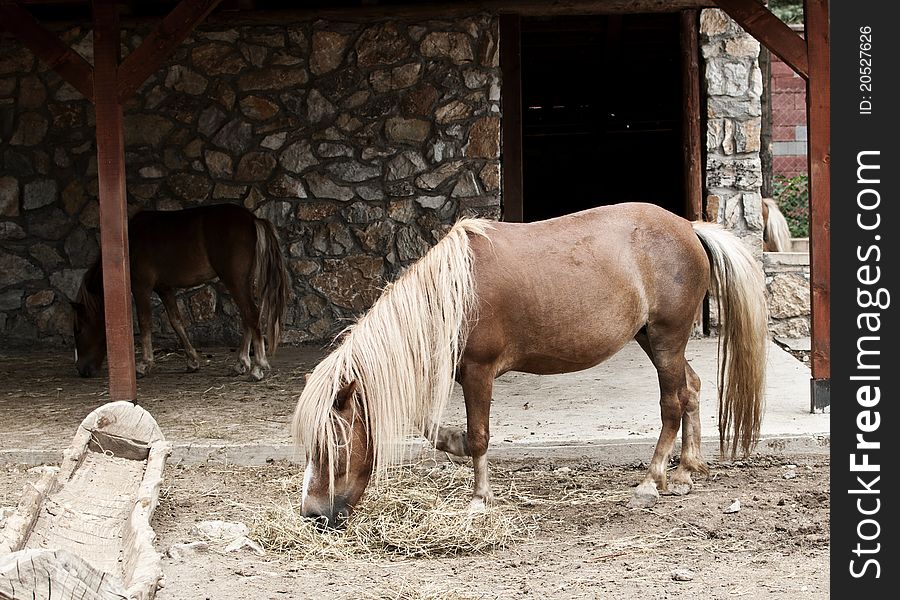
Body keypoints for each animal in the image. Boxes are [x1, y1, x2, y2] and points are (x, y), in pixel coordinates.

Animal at [75, 202, 292, 380]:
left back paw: (258, 366)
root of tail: (252, 219)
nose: (81, 369)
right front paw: (192, 361)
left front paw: (144, 365)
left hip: (235, 281)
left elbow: (145, 323)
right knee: (249, 316)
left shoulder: (140, 287)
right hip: (242, 282)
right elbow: (176, 321)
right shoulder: (164, 289)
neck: (128, 242)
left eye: (80, 328)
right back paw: (241, 363)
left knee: (251, 314)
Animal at [294, 204, 768, 528]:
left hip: (667, 340)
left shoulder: (478, 372)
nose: (313, 515)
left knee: (672, 403)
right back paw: (686, 470)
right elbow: (429, 423)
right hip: (652, 339)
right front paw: (453, 442)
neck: (454, 293)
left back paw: (652, 481)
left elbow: (480, 438)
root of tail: (689, 227)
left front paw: (479, 500)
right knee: (691, 389)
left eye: (332, 447)